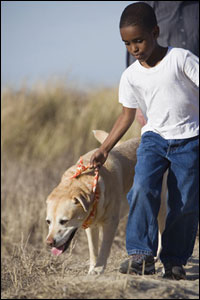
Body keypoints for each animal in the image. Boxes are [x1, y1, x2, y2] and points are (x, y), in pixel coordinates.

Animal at [45, 130, 167, 276]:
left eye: (64, 221)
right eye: (48, 222)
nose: (49, 242)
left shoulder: (111, 223)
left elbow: (104, 248)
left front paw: (98, 269)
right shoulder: (90, 225)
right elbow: (93, 250)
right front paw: (92, 269)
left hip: (161, 205)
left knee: (162, 232)